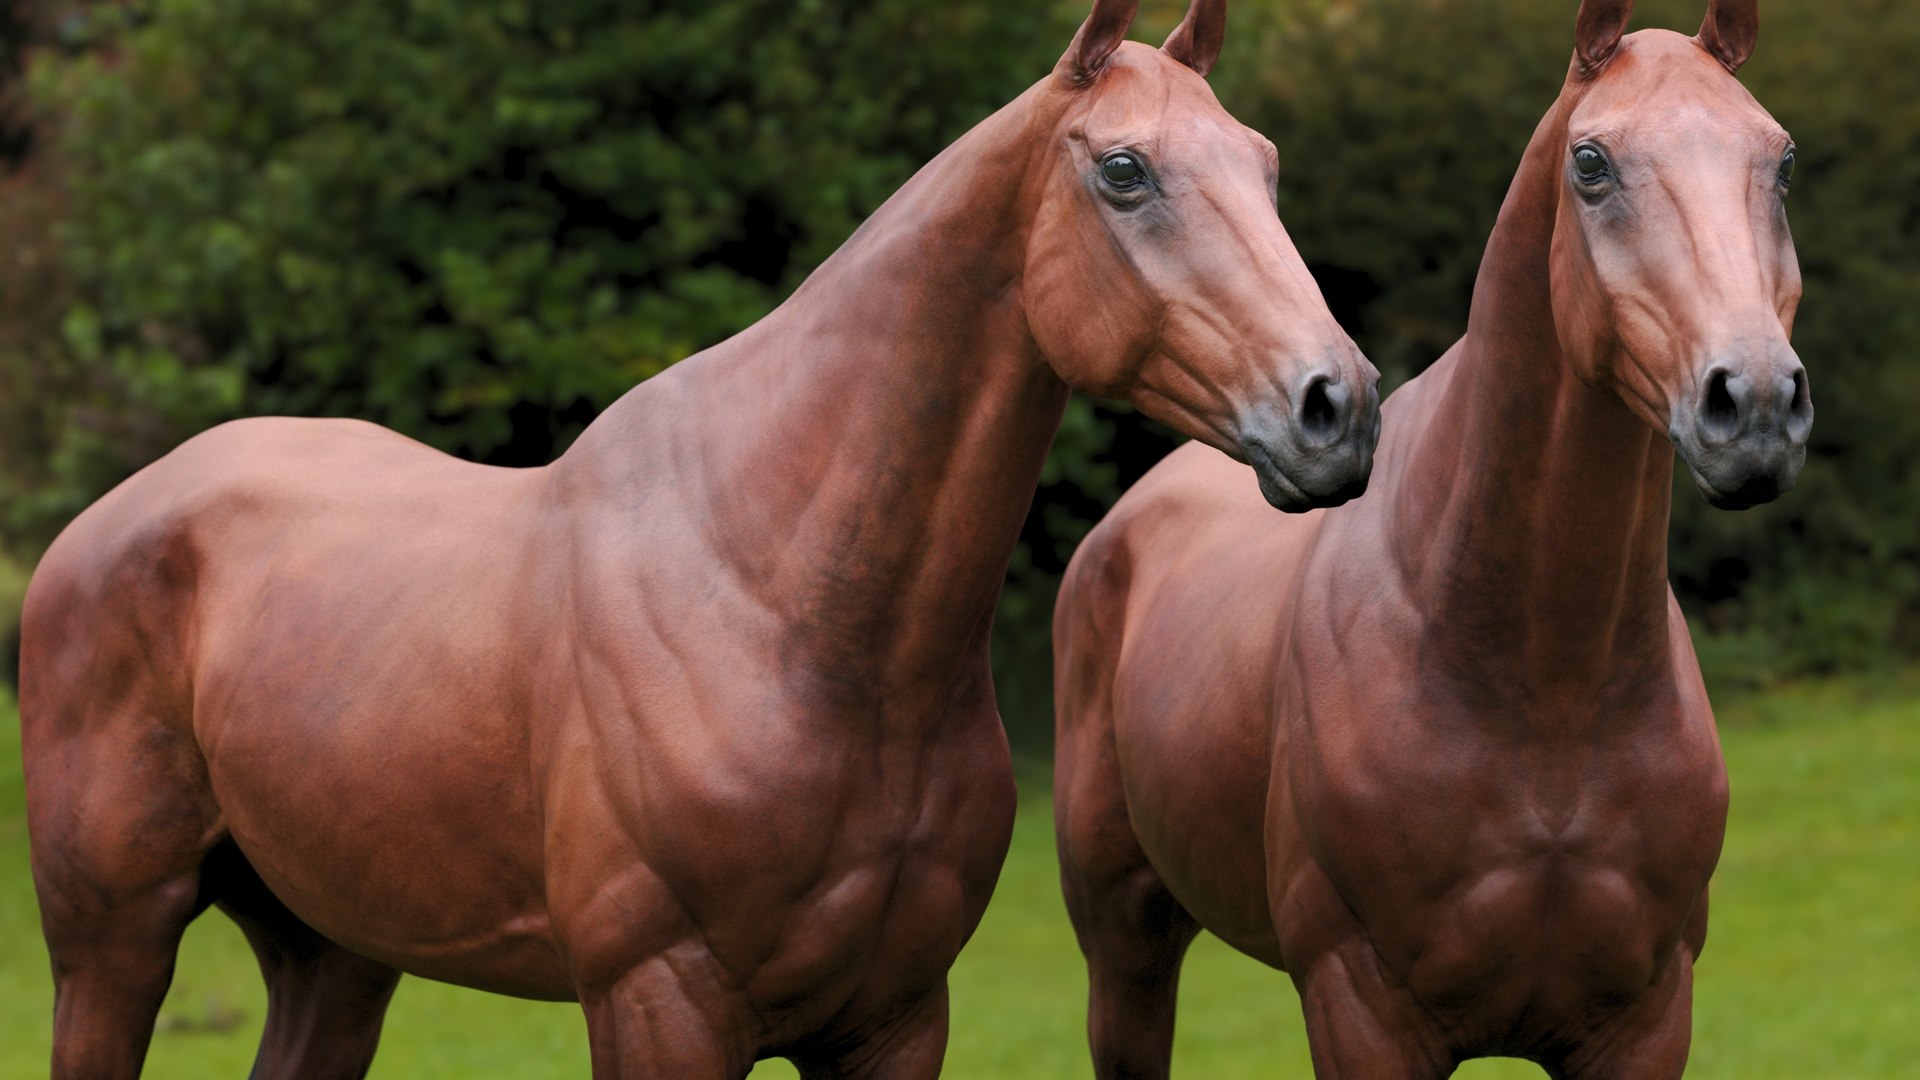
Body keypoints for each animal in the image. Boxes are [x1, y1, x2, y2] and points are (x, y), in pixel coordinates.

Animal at [19, 1, 1381, 1076]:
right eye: (1126, 170)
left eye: (1262, 163)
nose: (1339, 409)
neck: (781, 600)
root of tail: (102, 528)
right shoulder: (659, 1003)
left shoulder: (894, 1020)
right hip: (112, 947)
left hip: (333, 952)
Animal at [1053, 0, 1807, 1075]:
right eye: (1591, 163)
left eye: (1780, 162)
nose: (1755, 405)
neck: (1544, 689)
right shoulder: (1361, 1011)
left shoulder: (1647, 1020)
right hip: (1125, 942)